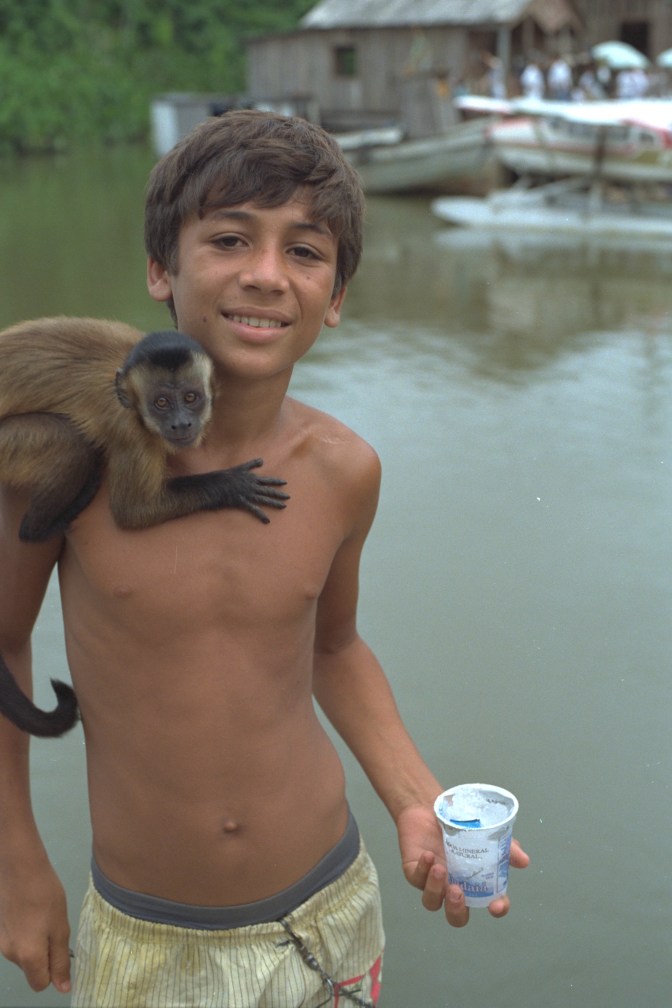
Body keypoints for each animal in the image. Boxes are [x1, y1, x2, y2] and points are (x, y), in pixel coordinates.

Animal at [0, 316, 289, 542]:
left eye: (190, 398)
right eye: (161, 403)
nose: (181, 422)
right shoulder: (129, 428)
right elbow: (134, 511)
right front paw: (231, 484)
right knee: (71, 443)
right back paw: (37, 530)